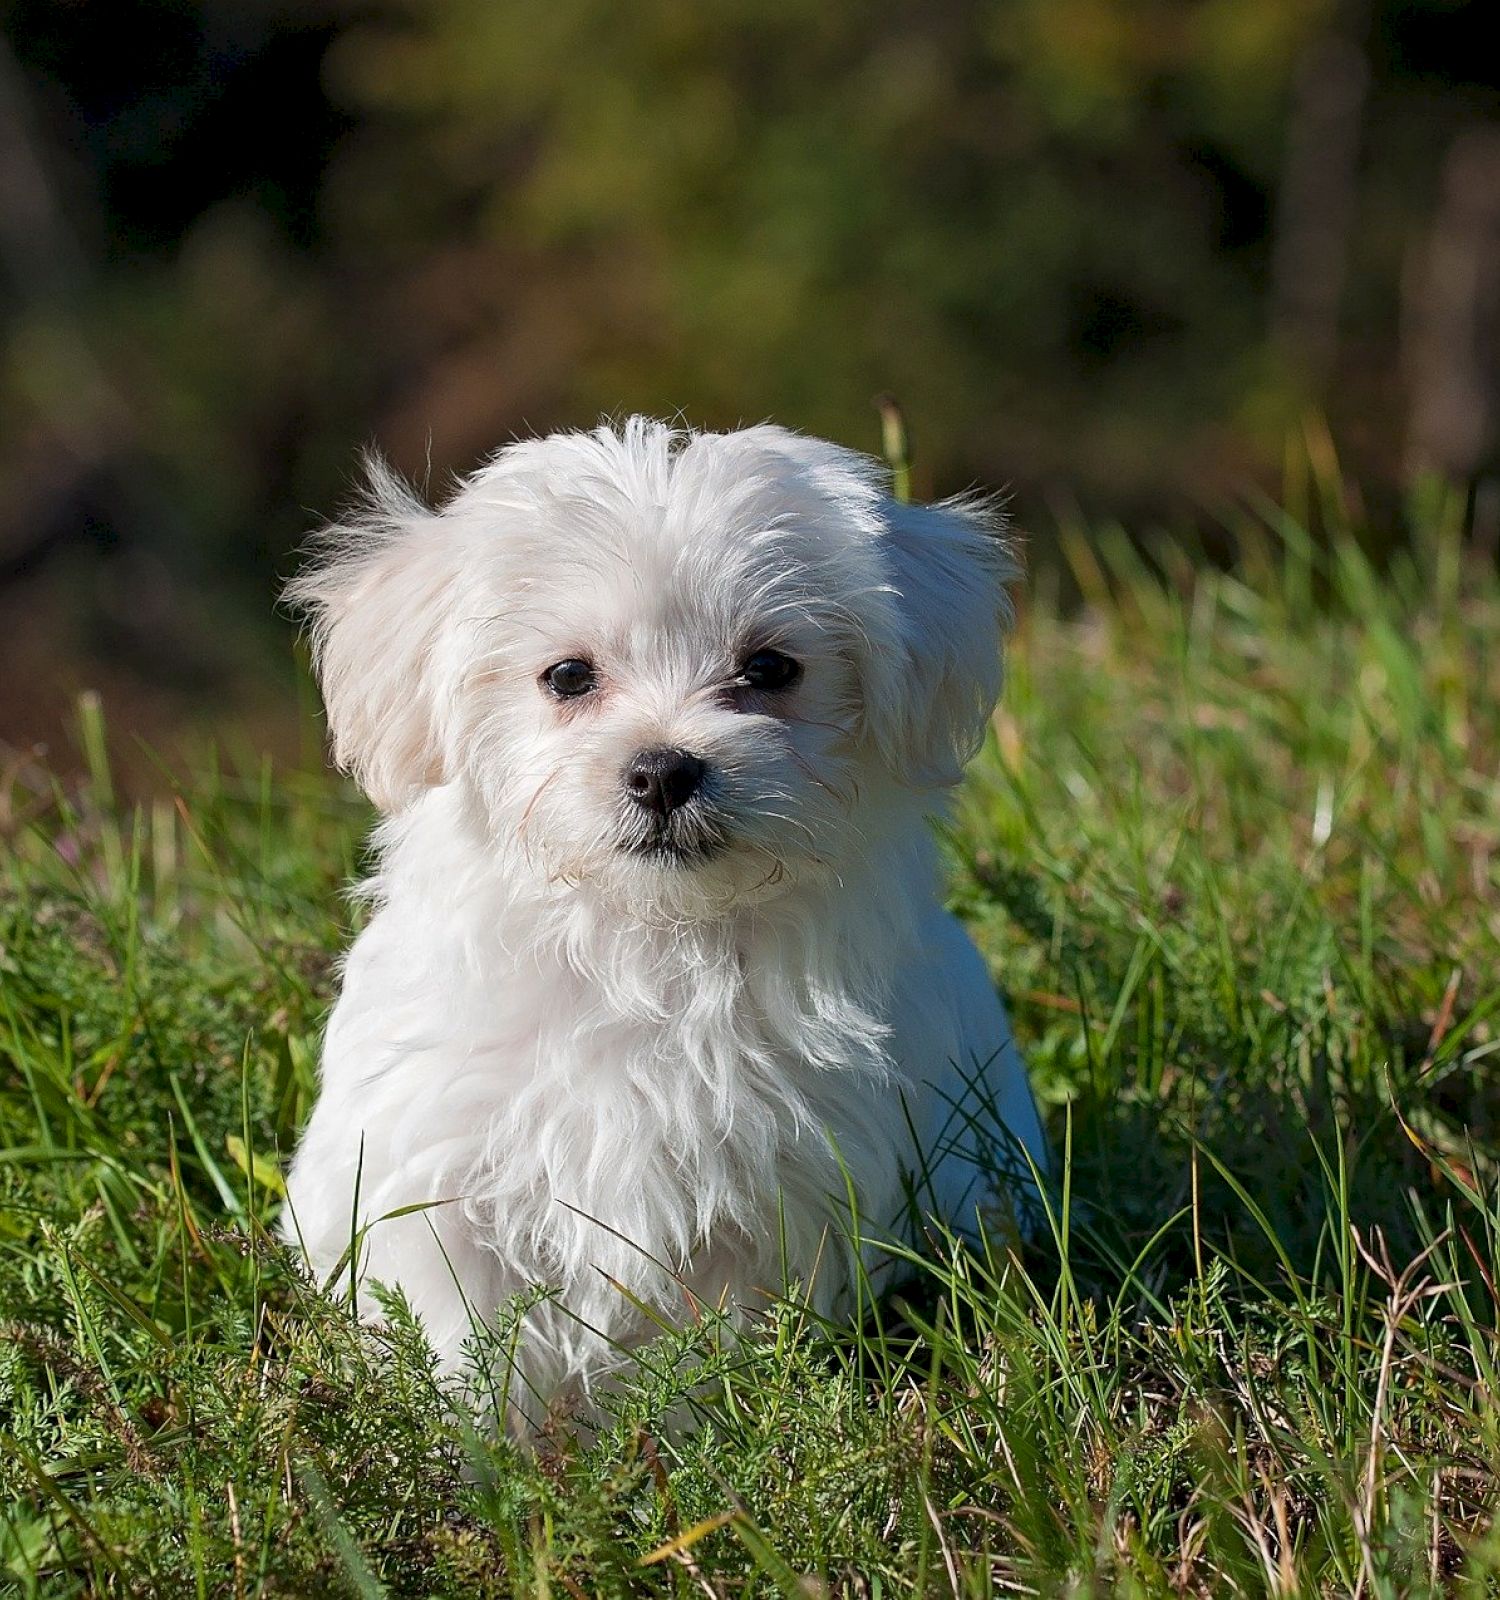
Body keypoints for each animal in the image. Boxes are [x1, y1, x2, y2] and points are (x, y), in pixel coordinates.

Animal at [286, 412, 1049, 1427]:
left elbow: (709, 1349)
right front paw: (478, 1452)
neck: (651, 943)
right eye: (568, 676)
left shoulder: (769, 1198)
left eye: (769, 668)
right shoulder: (437, 1176)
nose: (662, 770)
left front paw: (695, 1438)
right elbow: (462, 1343)